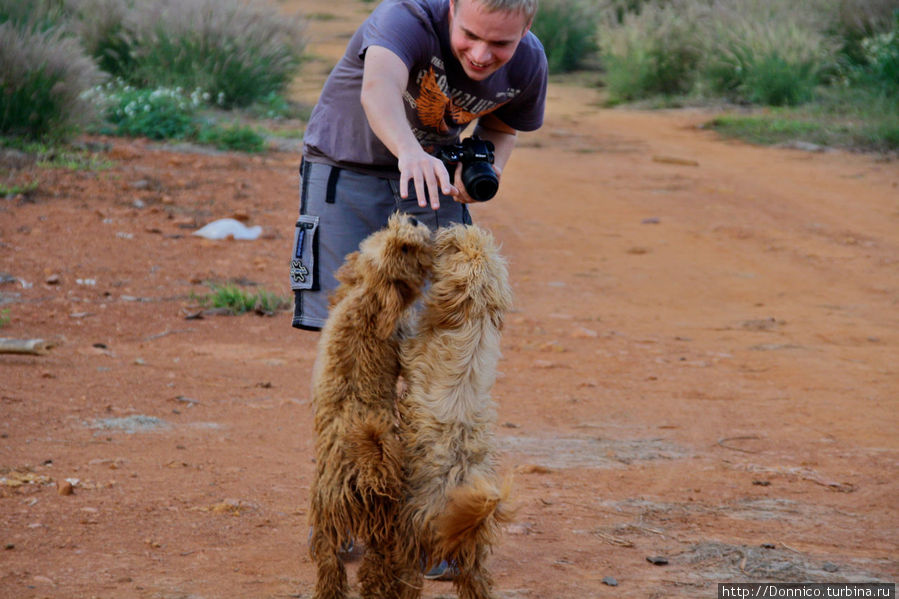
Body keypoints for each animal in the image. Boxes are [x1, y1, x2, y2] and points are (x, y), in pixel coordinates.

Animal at [308, 214, 434, 599]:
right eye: (405, 248)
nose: (412, 216)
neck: (369, 299)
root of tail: (367, 472)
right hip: (383, 527)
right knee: (379, 571)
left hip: (330, 528)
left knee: (332, 570)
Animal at [396, 224, 512, 599]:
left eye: (456, 249)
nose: (446, 228)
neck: (473, 321)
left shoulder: (411, 352)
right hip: (473, 557)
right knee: (475, 579)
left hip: (415, 525)